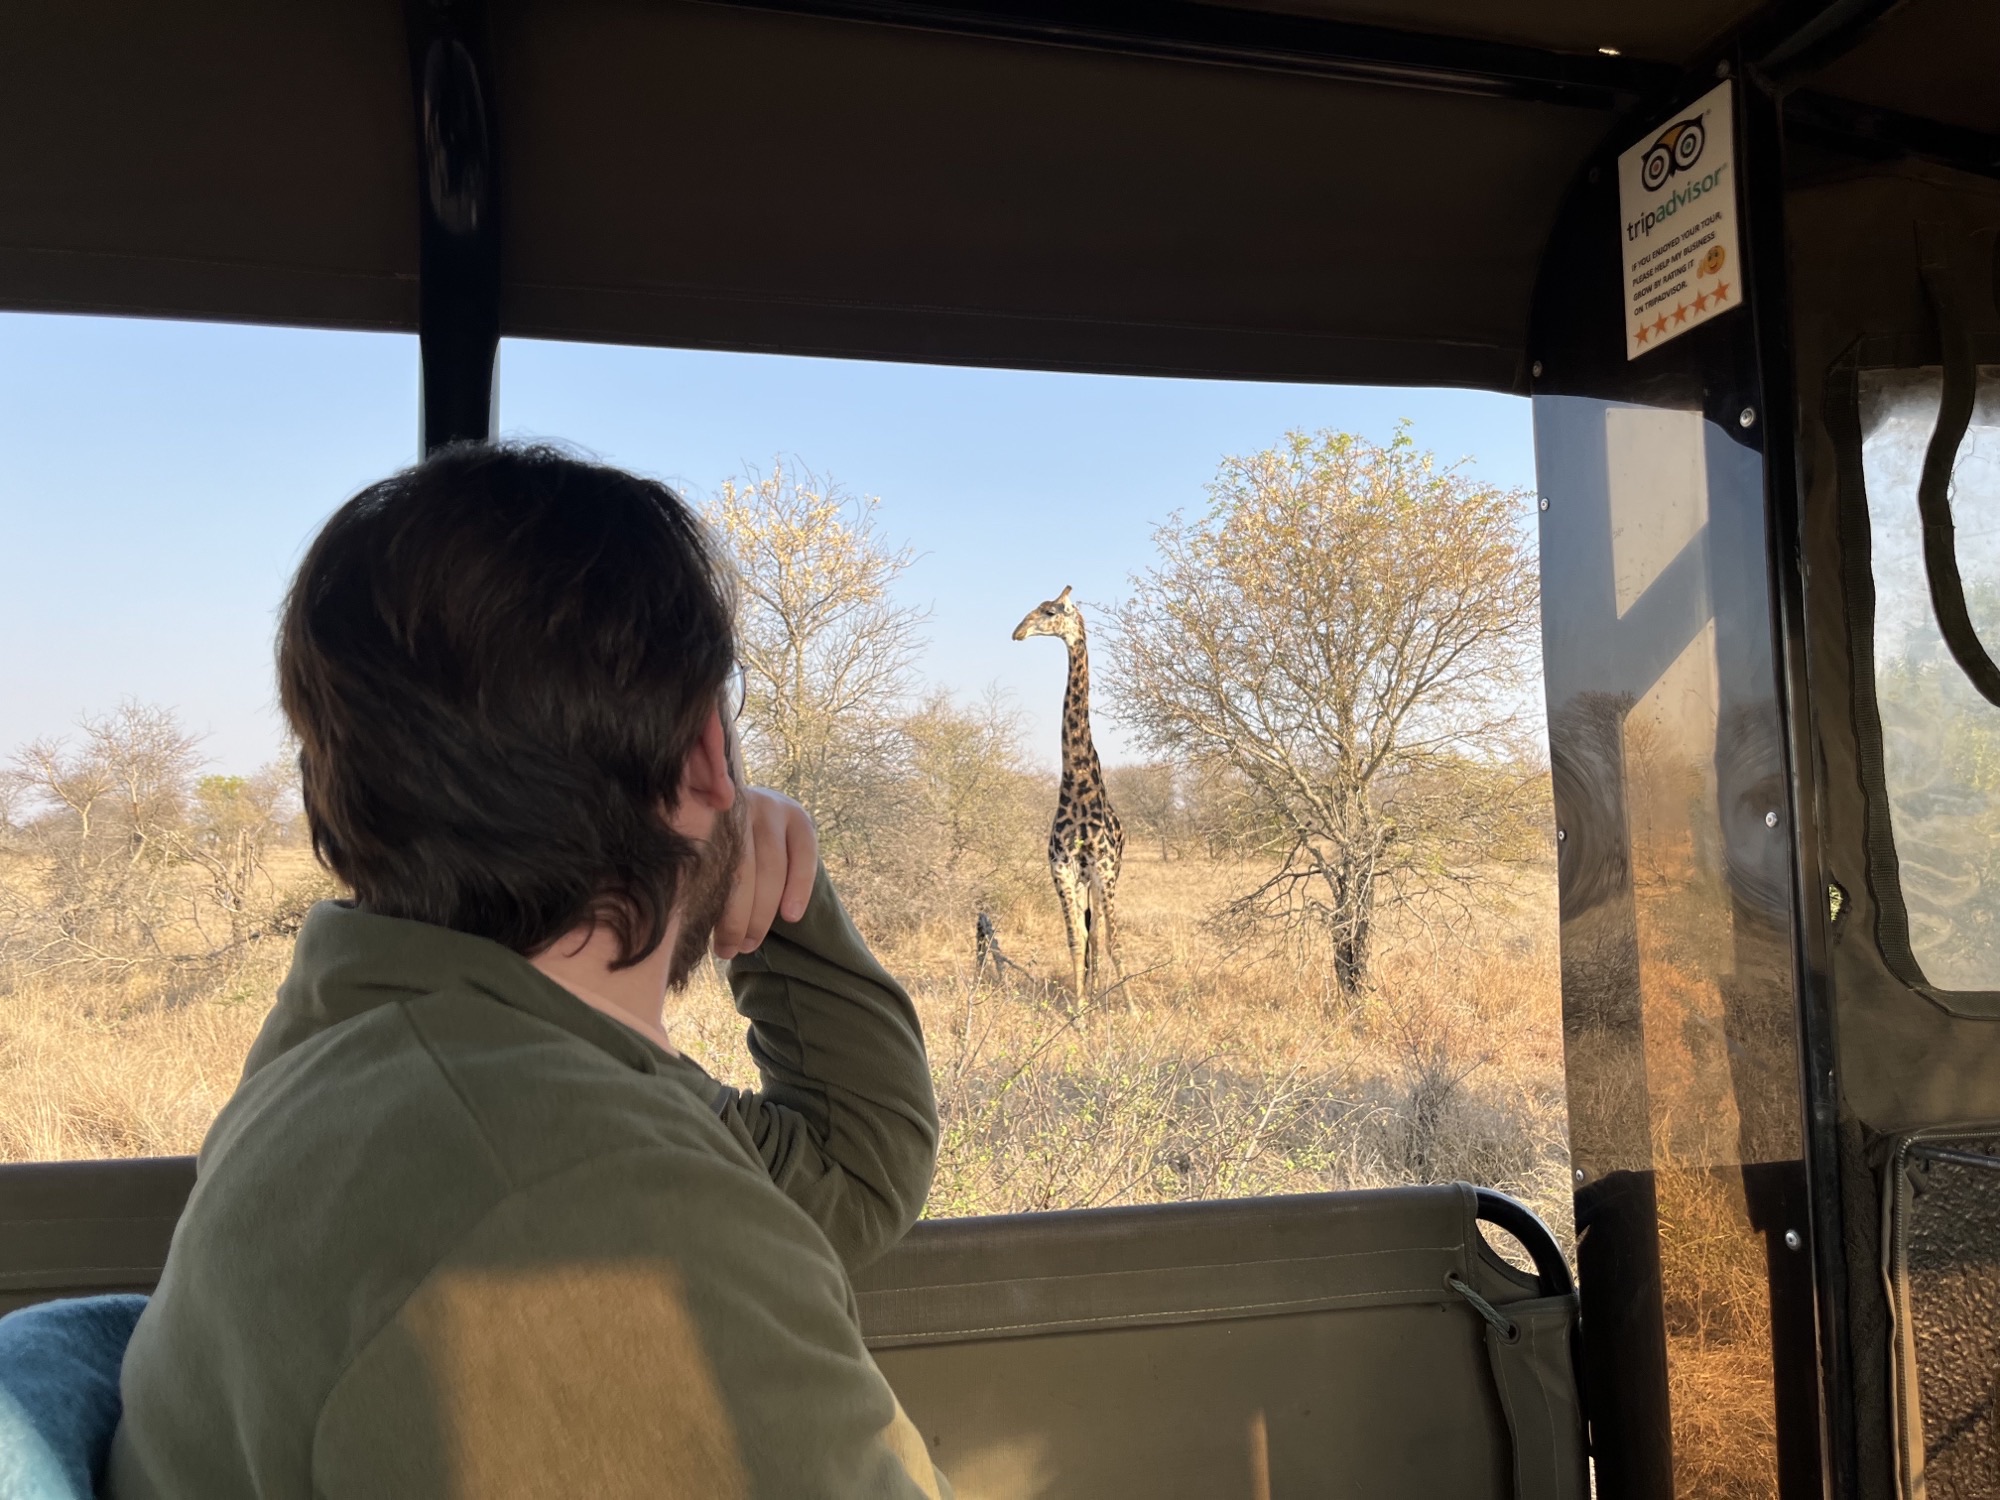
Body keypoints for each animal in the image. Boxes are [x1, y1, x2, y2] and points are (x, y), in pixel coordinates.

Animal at [1012, 587, 1124, 1004]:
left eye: (1050, 611)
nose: (1018, 632)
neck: (1077, 783)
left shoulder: (1103, 866)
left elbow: (1114, 941)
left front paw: (1130, 1008)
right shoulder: (1061, 867)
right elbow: (1076, 939)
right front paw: (1079, 1008)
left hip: (1108, 875)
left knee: (1103, 932)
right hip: (1083, 879)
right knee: (1090, 933)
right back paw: (1090, 992)